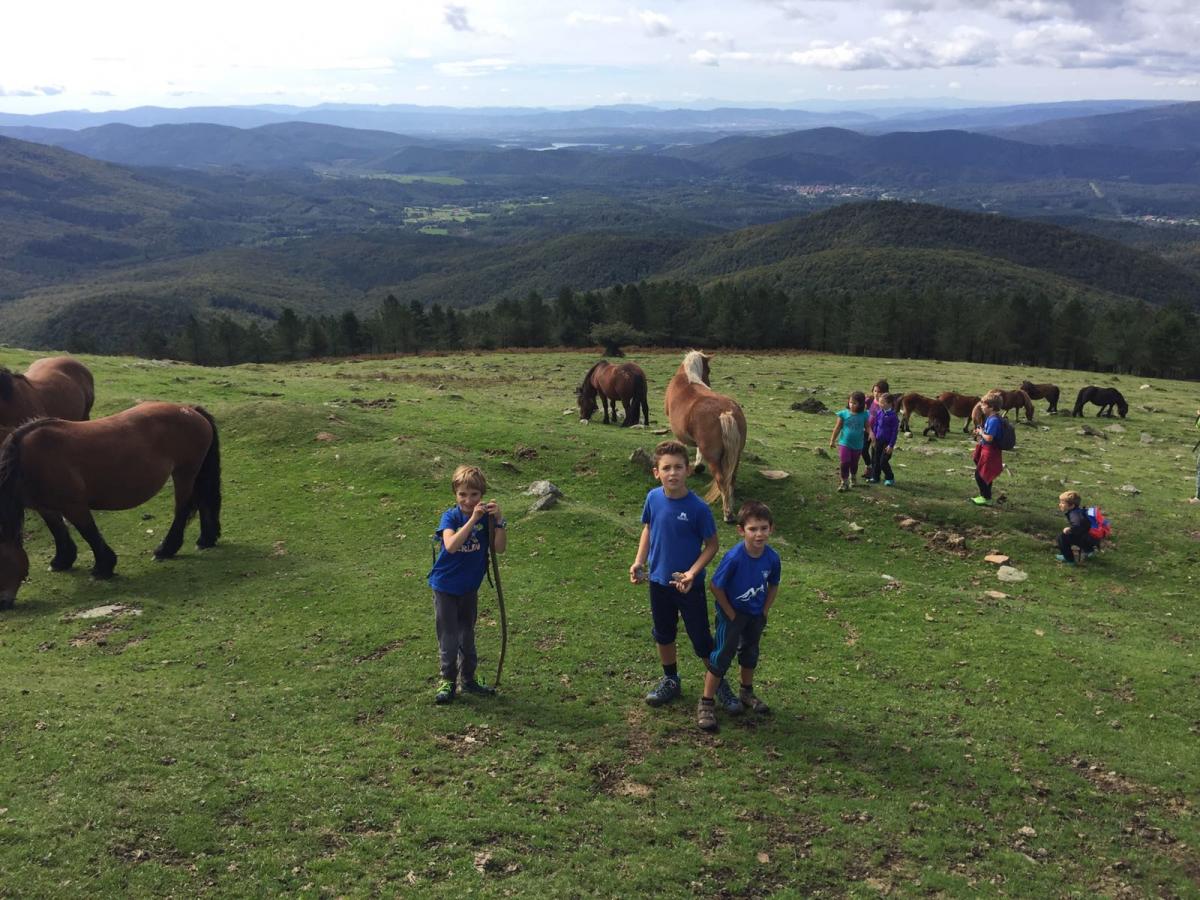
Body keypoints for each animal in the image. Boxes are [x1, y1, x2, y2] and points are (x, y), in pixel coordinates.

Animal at [0, 403, 220, 609]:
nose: (3, 605)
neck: (27, 460)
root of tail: (190, 410)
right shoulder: (45, 507)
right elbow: (58, 531)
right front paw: (62, 561)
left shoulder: (74, 506)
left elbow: (89, 533)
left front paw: (103, 568)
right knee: (203, 501)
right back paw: (206, 539)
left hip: (184, 473)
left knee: (183, 509)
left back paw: (166, 549)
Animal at [662, 350, 744, 525]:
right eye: (709, 370)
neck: (687, 378)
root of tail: (725, 412)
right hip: (736, 456)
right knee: (731, 479)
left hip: (714, 458)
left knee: (721, 479)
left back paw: (728, 514)